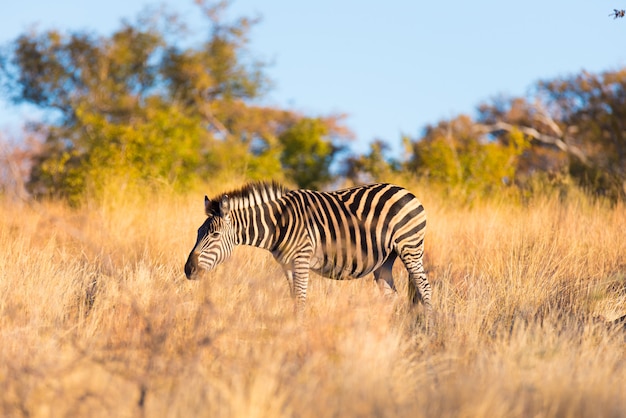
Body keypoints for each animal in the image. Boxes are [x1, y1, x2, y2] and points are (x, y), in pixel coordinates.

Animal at [183, 182, 432, 316]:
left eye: (214, 235)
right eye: (198, 232)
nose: (188, 270)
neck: (277, 223)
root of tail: (406, 191)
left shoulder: (301, 259)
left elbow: (301, 299)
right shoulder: (287, 265)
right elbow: (295, 299)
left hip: (409, 247)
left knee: (424, 286)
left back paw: (429, 326)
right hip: (386, 259)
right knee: (391, 295)